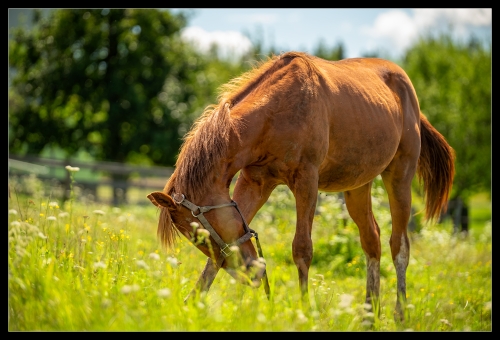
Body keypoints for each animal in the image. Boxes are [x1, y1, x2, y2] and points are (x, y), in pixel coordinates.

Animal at [146, 51, 456, 322]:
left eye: (198, 233)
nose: (252, 273)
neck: (275, 112)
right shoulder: (254, 182)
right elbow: (219, 257)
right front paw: (193, 304)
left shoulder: (307, 181)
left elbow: (302, 249)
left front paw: (305, 312)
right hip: (358, 186)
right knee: (372, 241)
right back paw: (369, 317)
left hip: (399, 177)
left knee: (399, 246)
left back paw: (400, 314)